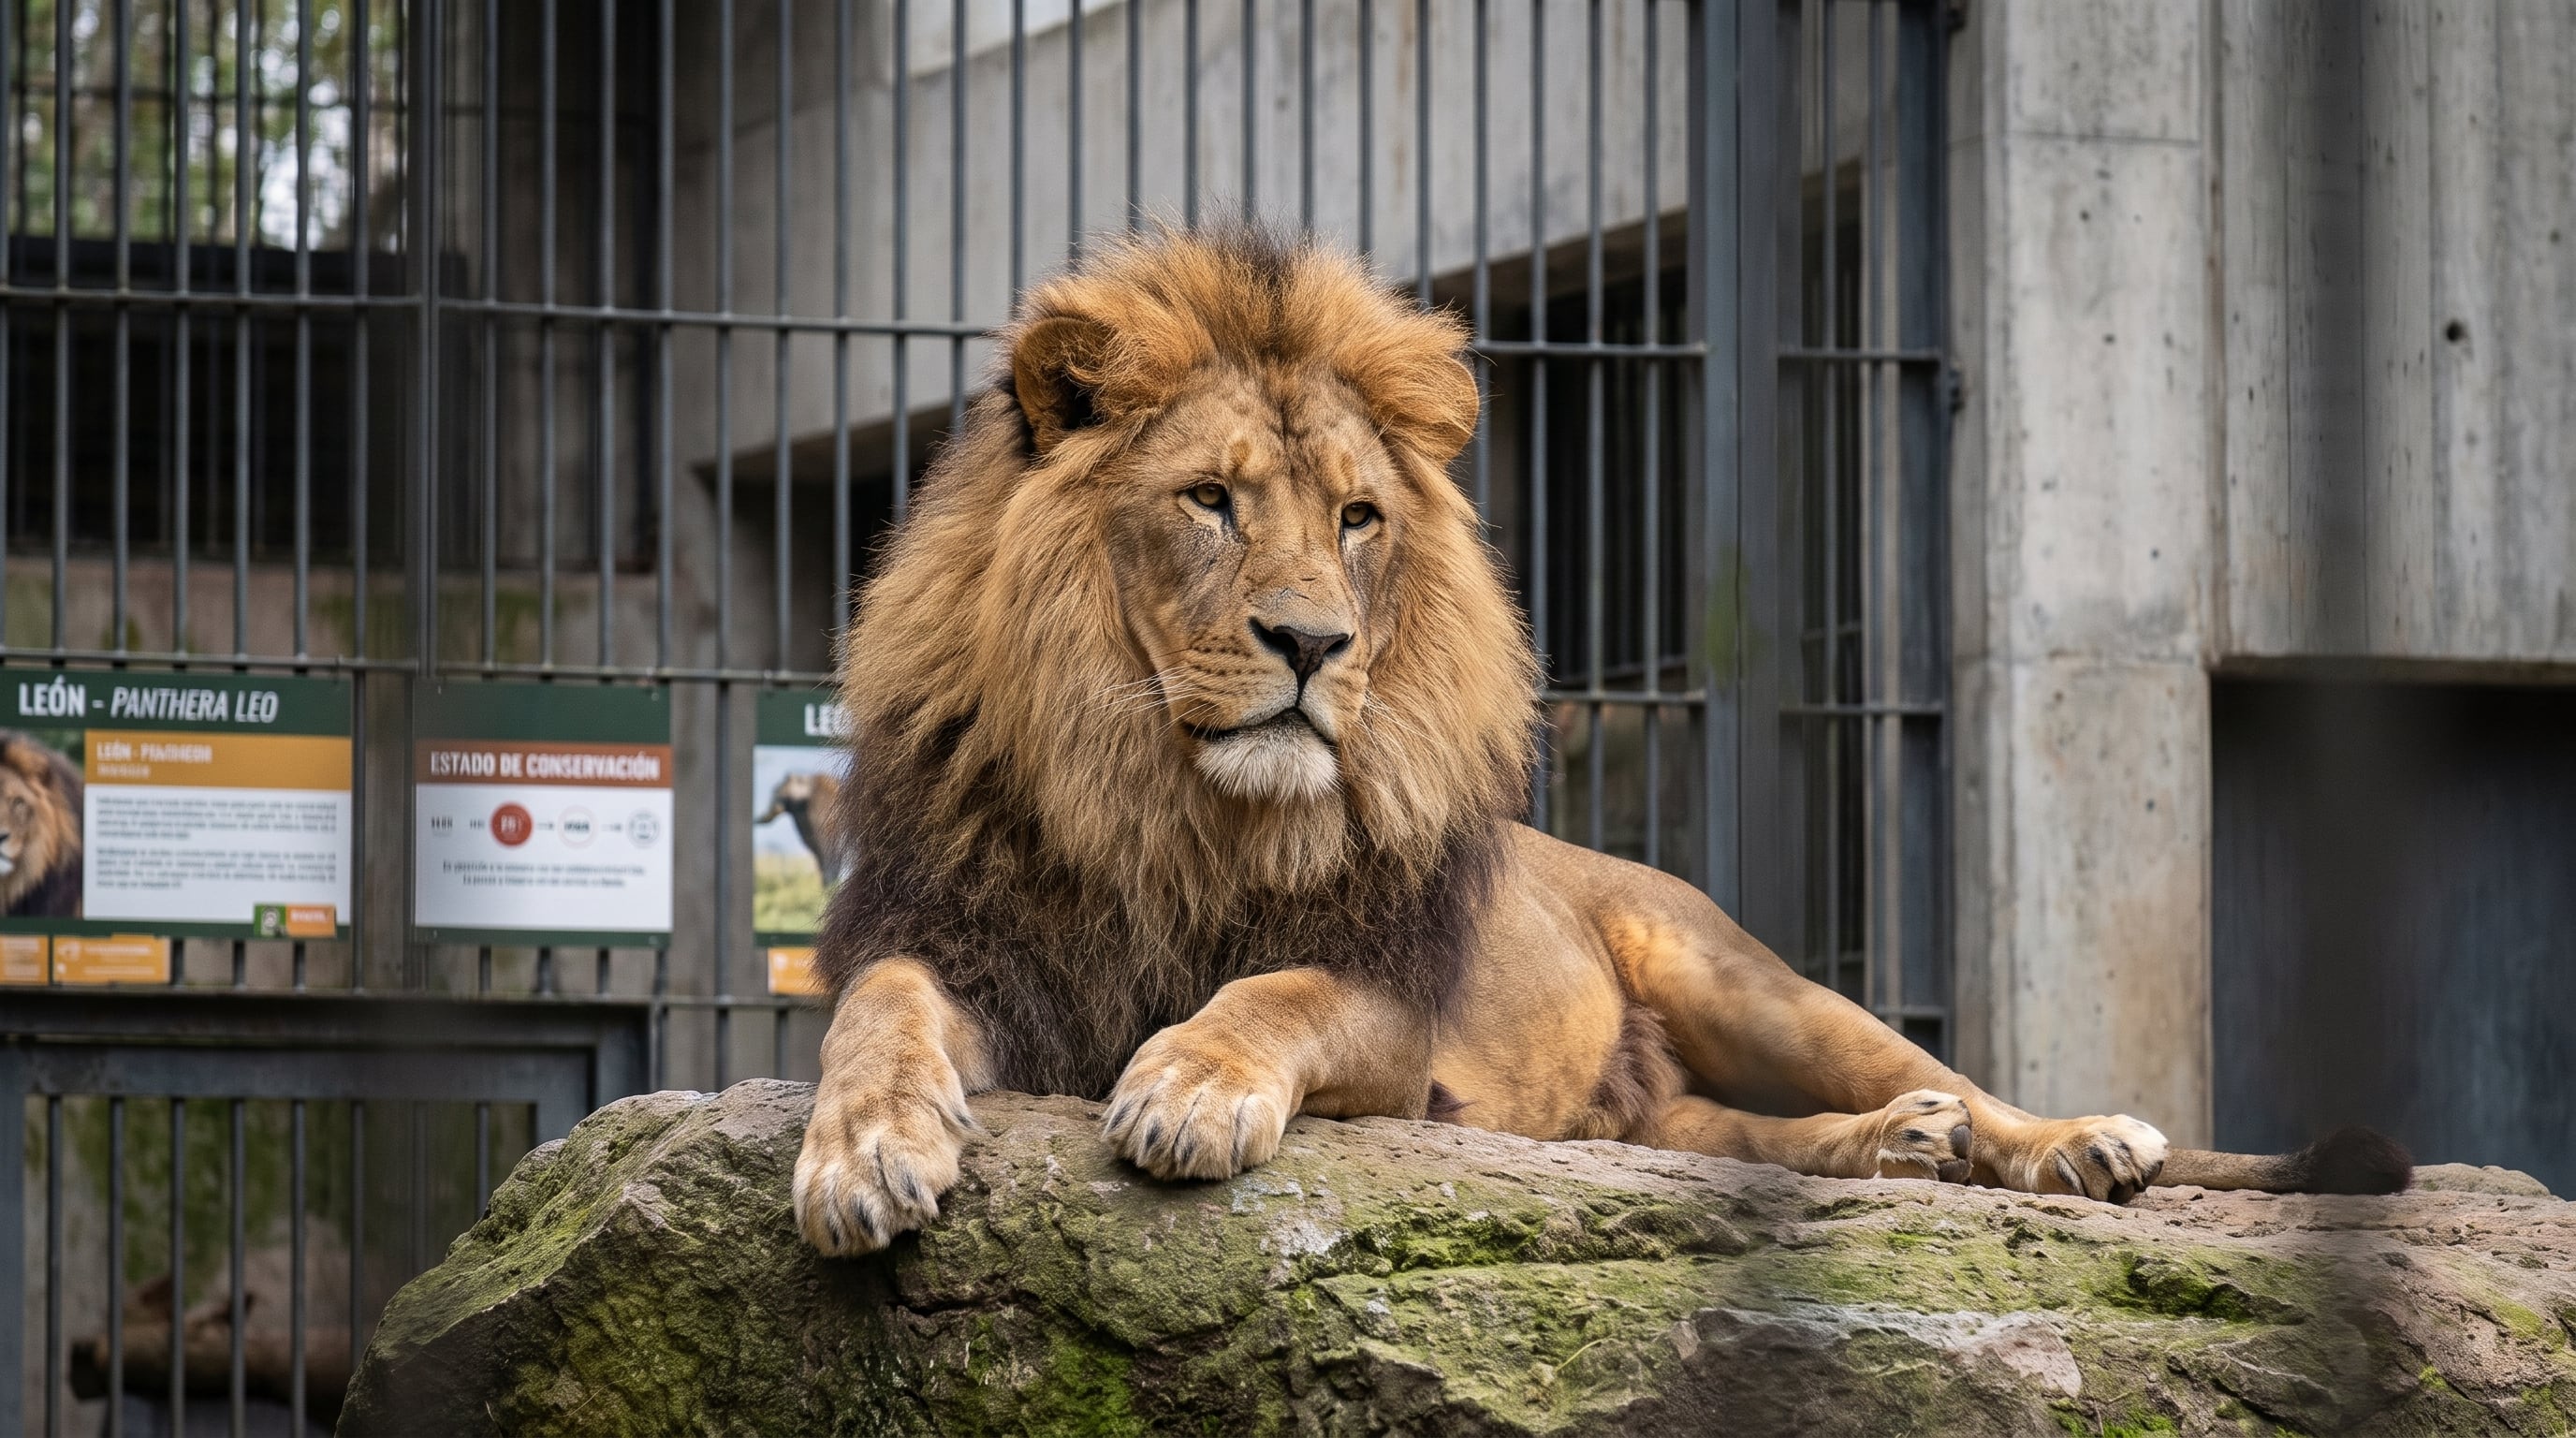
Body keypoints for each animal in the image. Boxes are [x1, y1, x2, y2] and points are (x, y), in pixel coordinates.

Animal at [793, 229, 2409, 1256]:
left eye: (1358, 518)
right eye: (1209, 500)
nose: (1314, 646)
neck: (1162, 801)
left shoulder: (1387, 1003)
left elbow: (1274, 989)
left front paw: (1190, 1081)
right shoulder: (970, 942)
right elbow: (874, 1008)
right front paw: (863, 1151)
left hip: (1747, 981)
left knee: (1940, 1078)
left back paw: (2067, 1143)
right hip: (1639, 1116)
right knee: (1725, 1143)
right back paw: (1899, 1146)